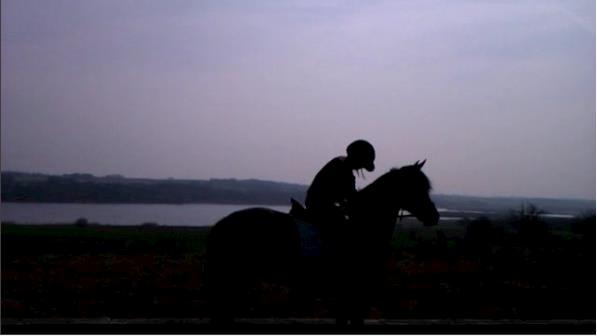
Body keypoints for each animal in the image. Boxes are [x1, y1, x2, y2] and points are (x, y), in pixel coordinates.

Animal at [205, 160, 438, 326]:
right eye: (414, 187)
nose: (434, 216)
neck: (363, 227)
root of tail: (220, 224)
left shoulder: (347, 295)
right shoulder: (355, 293)